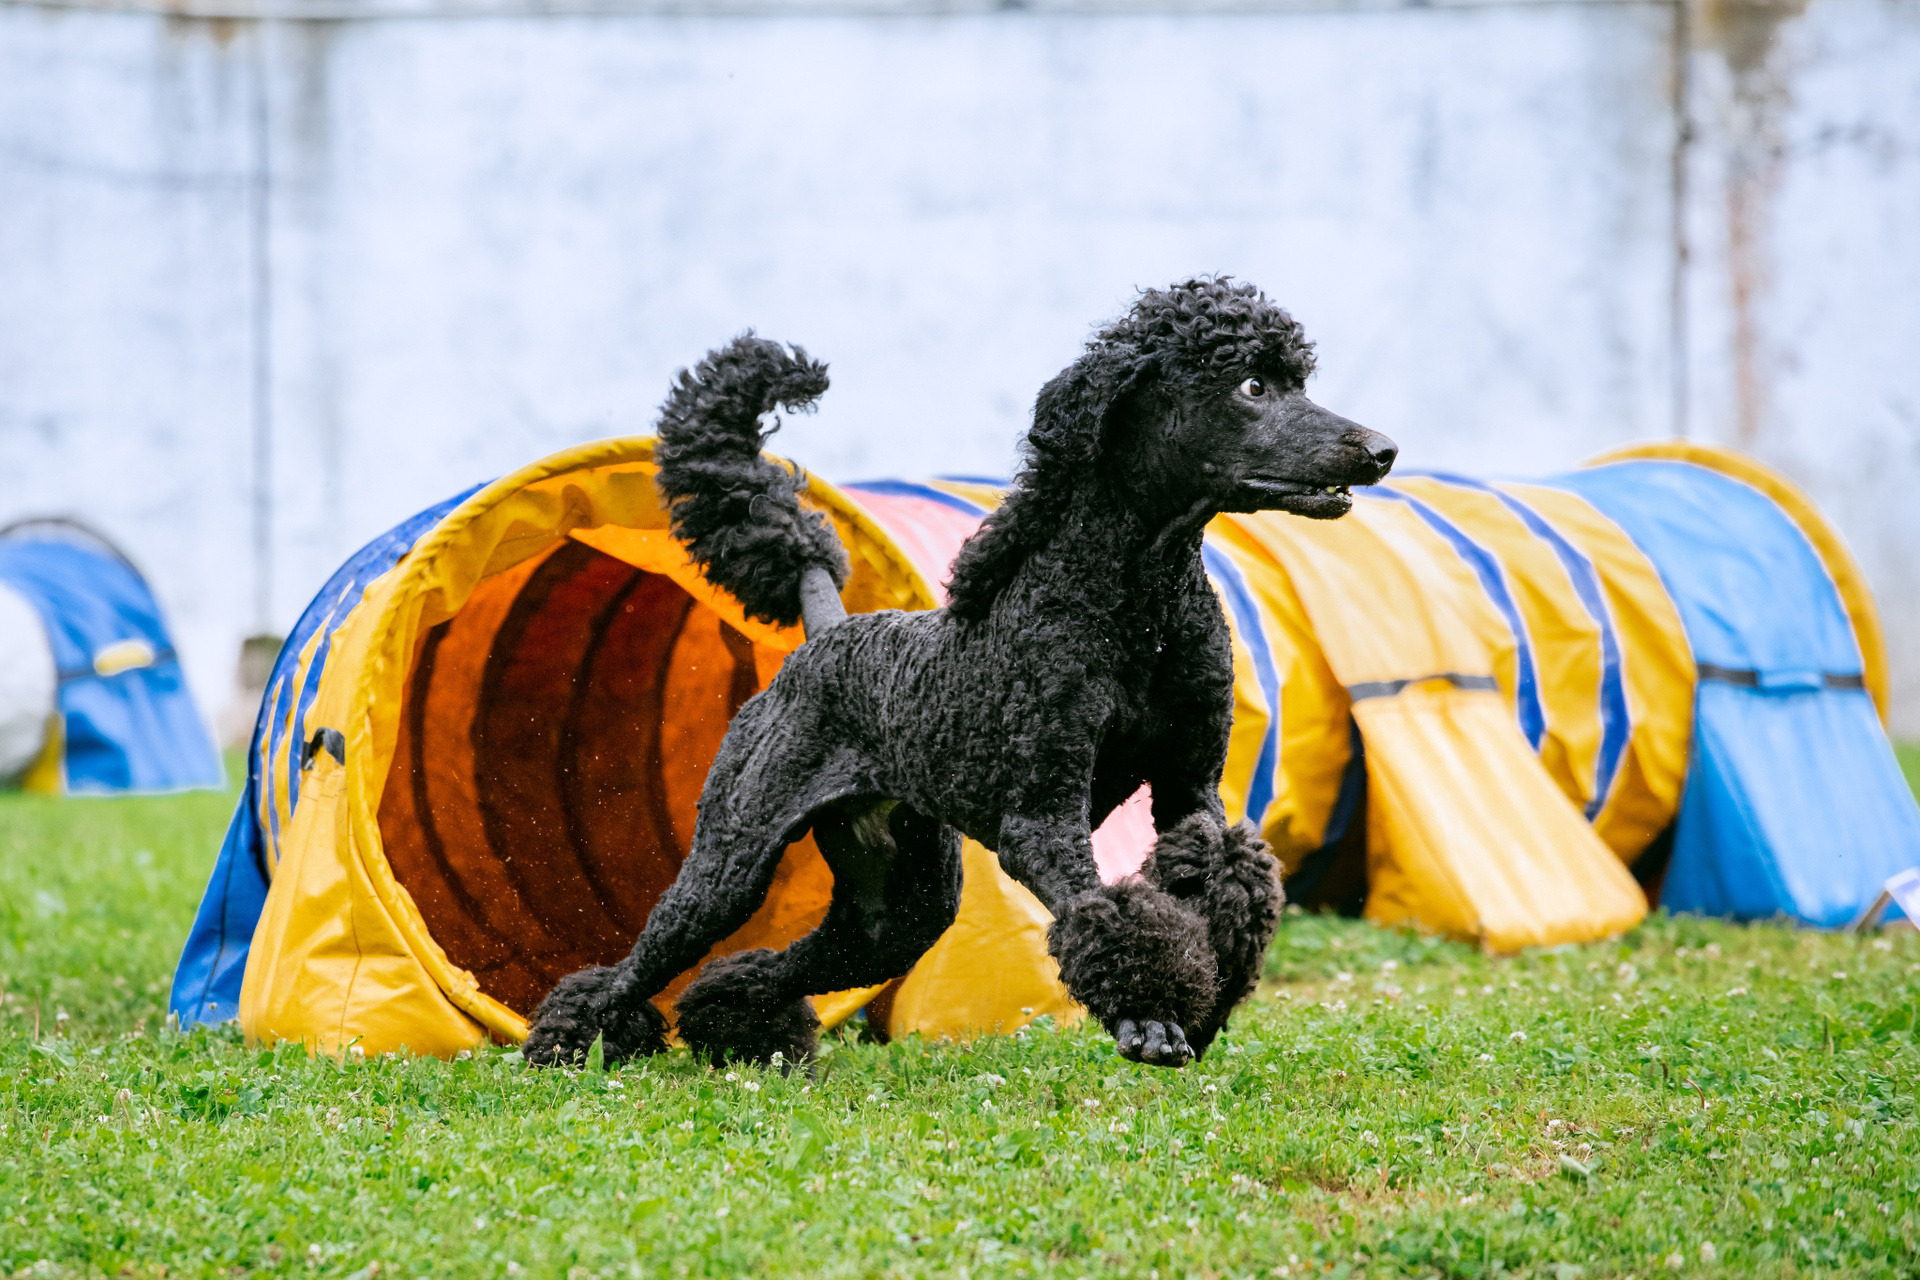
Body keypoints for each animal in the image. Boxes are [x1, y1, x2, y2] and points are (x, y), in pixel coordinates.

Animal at [523, 277, 1396, 1070]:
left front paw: (1206, 1002)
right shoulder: (1041, 814)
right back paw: (567, 1041)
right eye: (1252, 385)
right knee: (643, 962)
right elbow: (1103, 914)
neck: (1138, 601)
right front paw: (1149, 1019)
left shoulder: (1190, 789)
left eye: (1296, 379)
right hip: (734, 855)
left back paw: (742, 1030)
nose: (1381, 449)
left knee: (774, 966)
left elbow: (1230, 879)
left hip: (898, 903)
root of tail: (826, 631)